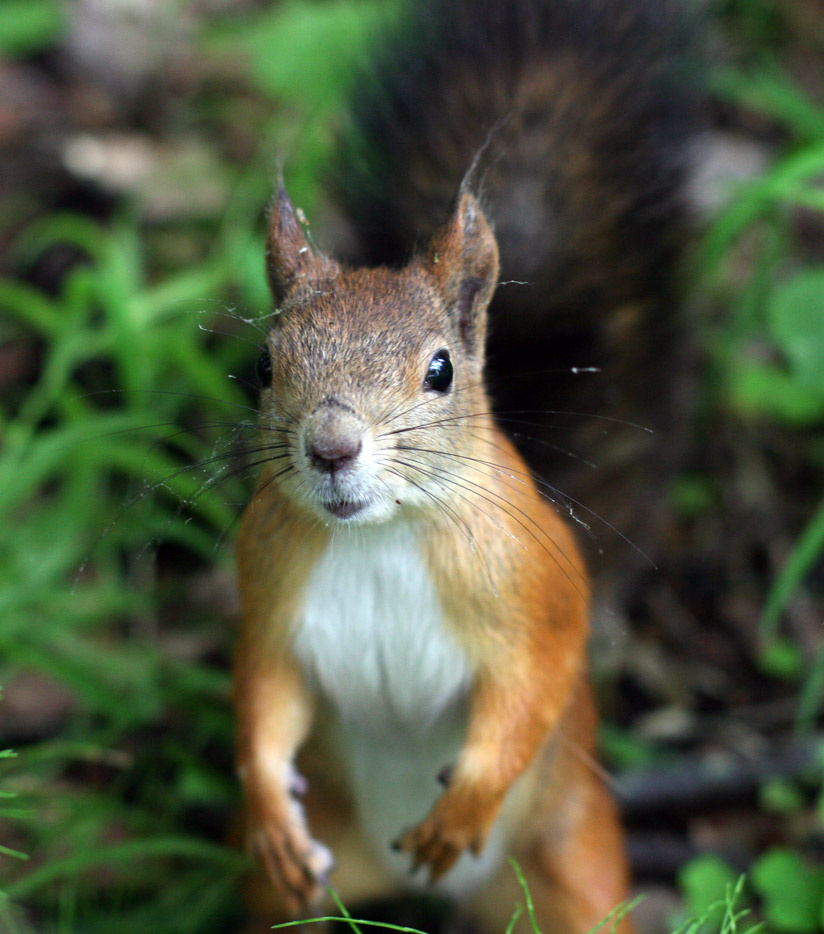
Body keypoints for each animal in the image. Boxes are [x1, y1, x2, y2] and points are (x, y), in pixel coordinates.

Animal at [234, 0, 701, 930]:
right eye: (265, 365)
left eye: (442, 370)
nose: (331, 447)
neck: (379, 537)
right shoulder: (268, 589)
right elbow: (263, 694)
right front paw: (267, 804)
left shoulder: (539, 584)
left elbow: (532, 687)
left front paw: (464, 806)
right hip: (293, 893)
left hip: (571, 862)